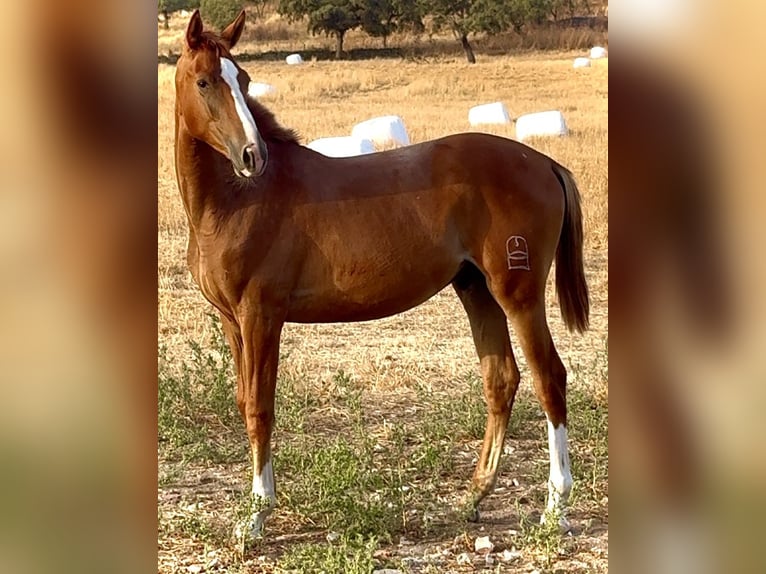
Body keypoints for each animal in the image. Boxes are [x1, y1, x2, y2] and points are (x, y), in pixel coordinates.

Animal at [174, 9, 590, 541]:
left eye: (243, 80)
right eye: (205, 81)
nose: (253, 156)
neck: (238, 201)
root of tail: (544, 162)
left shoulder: (260, 315)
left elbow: (260, 408)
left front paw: (256, 517)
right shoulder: (232, 320)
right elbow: (246, 401)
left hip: (518, 294)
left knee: (549, 377)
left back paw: (555, 507)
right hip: (475, 289)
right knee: (502, 379)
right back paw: (474, 495)